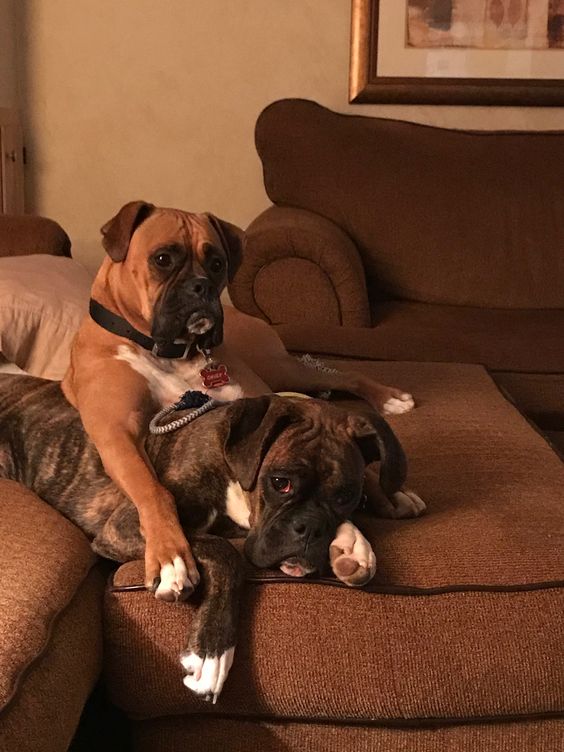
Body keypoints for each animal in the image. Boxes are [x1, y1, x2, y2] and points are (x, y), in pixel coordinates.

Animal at [0, 376, 424, 704]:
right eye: (280, 482)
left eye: (344, 497)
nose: (309, 528)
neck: (232, 469)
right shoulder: (122, 526)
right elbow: (222, 552)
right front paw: (211, 653)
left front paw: (352, 544)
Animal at [61, 203, 416, 604]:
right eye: (162, 259)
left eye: (217, 264)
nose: (201, 286)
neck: (173, 353)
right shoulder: (116, 435)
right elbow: (154, 491)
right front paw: (170, 557)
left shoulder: (256, 404)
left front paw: (354, 537)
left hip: (278, 371)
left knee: (342, 377)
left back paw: (393, 422)